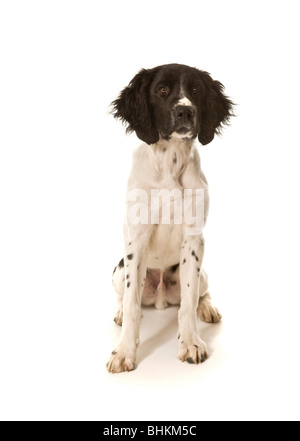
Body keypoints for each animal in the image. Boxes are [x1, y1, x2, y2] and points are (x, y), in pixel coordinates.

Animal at [106, 62, 234, 372]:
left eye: (196, 89)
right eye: (162, 90)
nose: (185, 112)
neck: (169, 163)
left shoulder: (194, 240)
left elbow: (188, 302)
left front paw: (191, 343)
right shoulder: (136, 240)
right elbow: (132, 304)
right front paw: (124, 352)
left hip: (203, 273)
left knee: (200, 293)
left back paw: (208, 308)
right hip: (118, 271)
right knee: (124, 296)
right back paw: (119, 312)